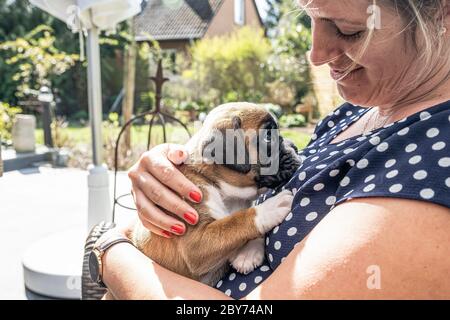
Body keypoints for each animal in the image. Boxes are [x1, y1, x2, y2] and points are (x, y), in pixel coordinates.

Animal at [128, 103, 300, 288]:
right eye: (268, 136)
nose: (295, 146)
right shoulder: (196, 244)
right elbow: (233, 224)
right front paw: (270, 208)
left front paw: (248, 253)